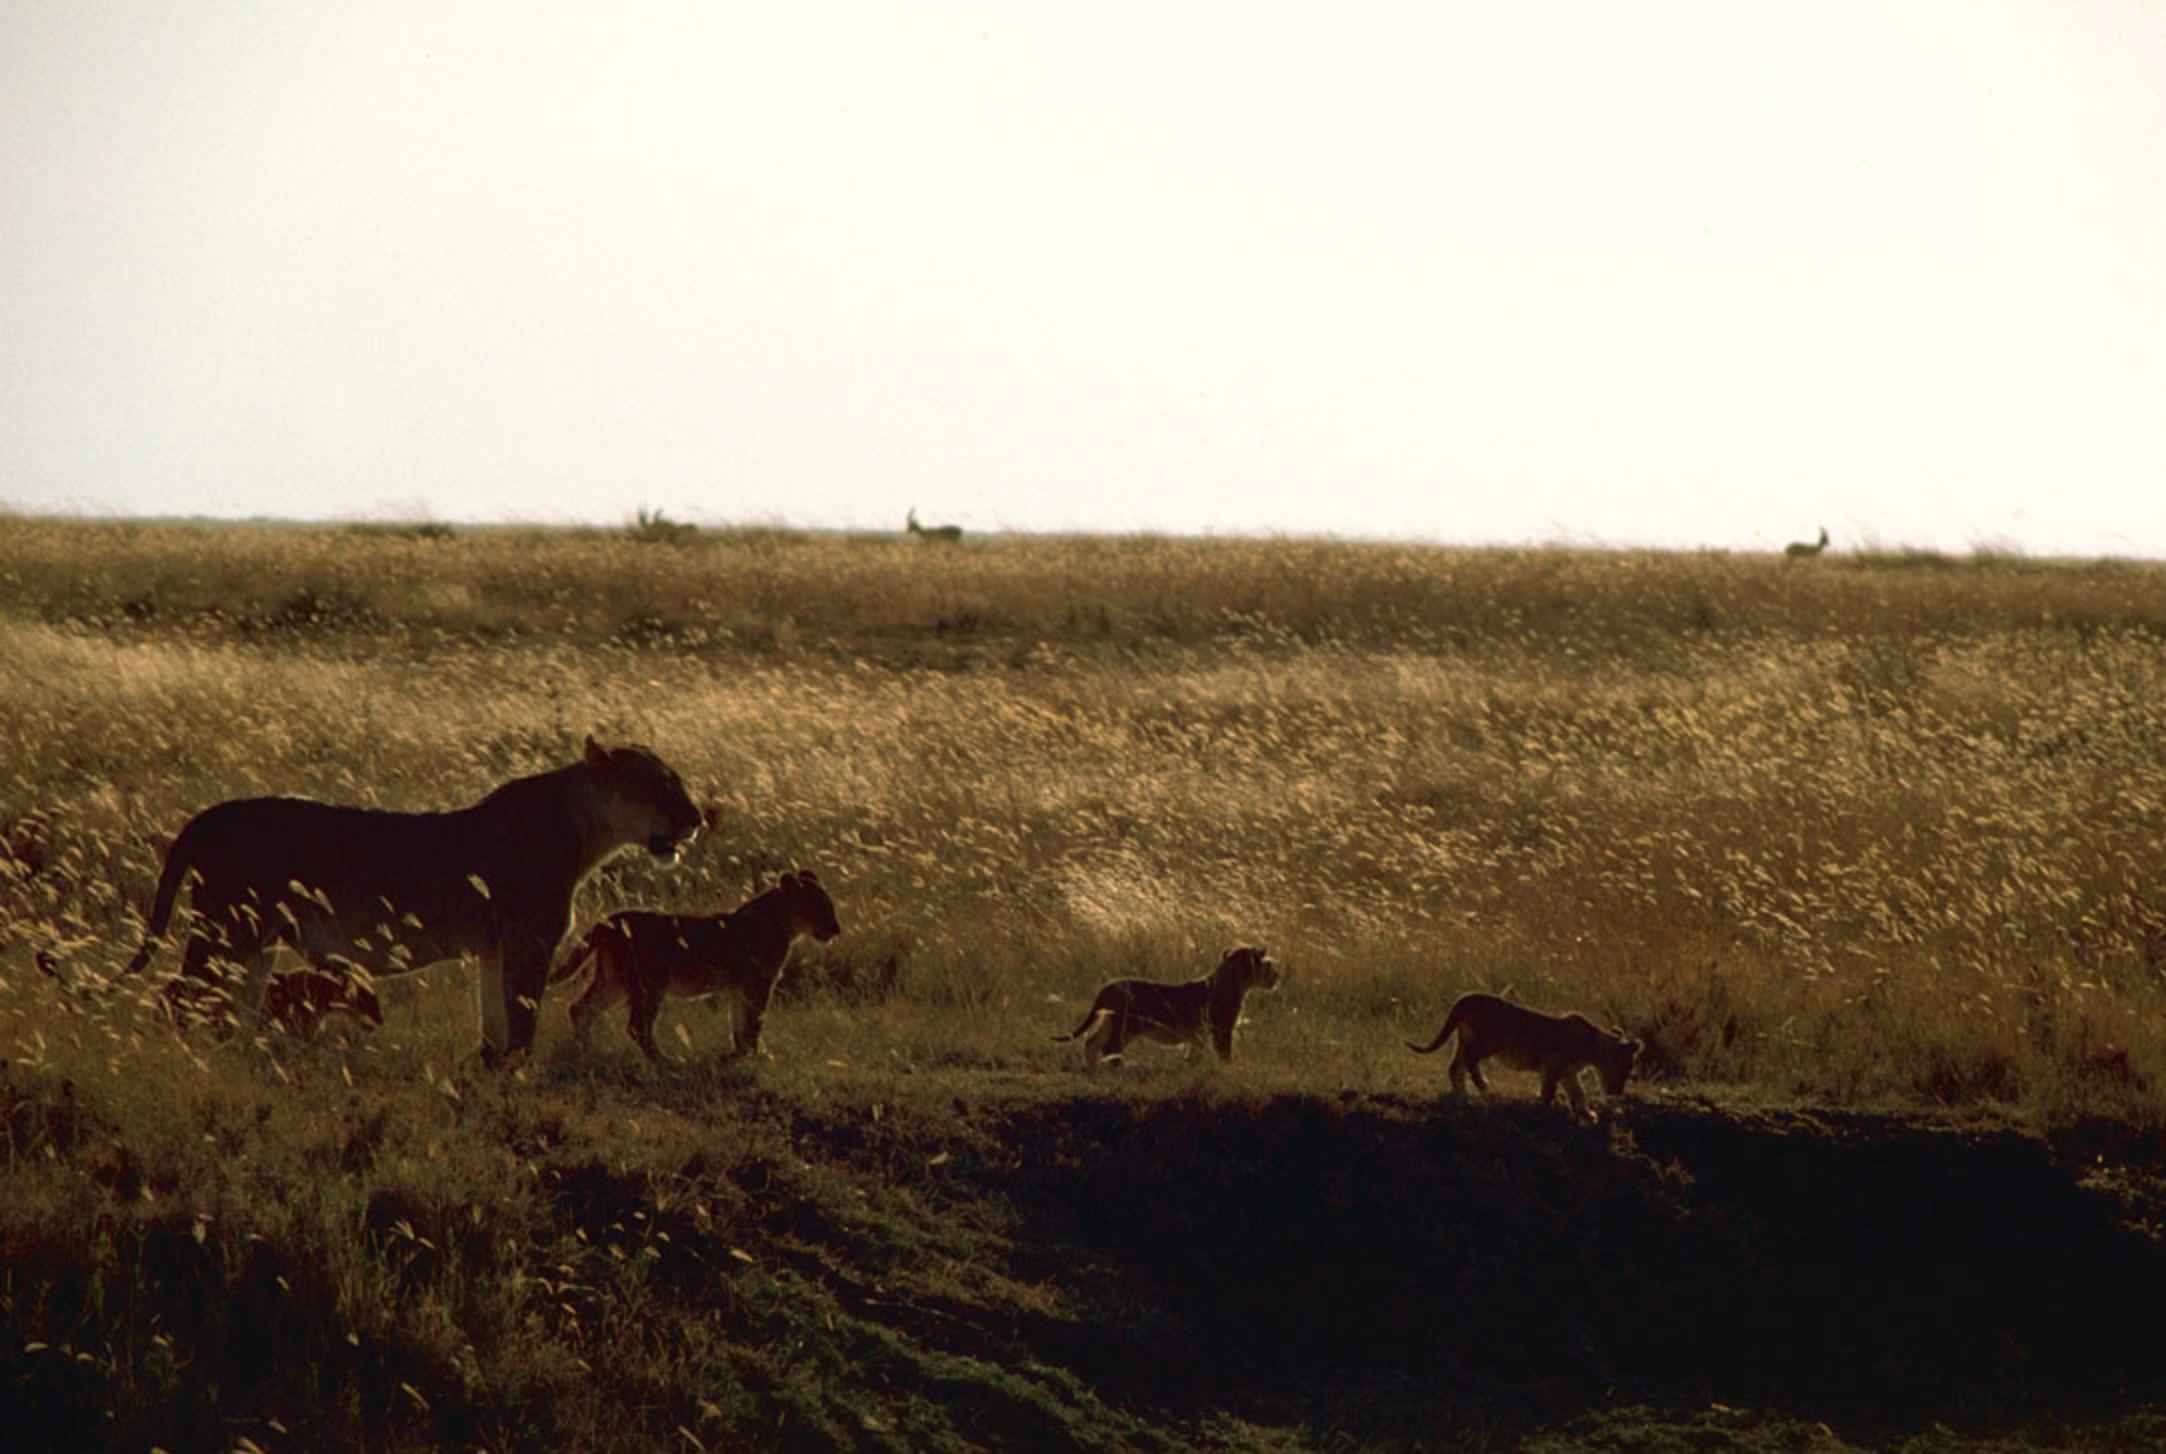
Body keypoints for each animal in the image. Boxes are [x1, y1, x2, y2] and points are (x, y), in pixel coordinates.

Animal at [121, 736, 703, 1064]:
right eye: (659, 784)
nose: (697, 819)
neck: (588, 831)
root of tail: (207, 815)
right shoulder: (530, 941)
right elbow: (523, 1020)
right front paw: (522, 1078)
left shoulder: (496, 947)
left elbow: (495, 1021)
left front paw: (488, 1070)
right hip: (228, 931)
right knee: (176, 998)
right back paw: (181, 1059)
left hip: (255, 941)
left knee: (231, 1003)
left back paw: (240, 1054)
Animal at [551, 869, 840, 1061]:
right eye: (820, 905)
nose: (836, 929)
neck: (784, 922)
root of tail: (607, 920)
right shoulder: (760, 982)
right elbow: (754, 1021)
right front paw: (757, 1055)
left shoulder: (739, 985)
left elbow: (737, 1021)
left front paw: (738, 1054)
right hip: (649, 983)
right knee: (636, 1026)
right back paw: (665, 1061)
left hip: (615, 981)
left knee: (580, 1008)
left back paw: (584, 1052)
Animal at [1052, 946, 1282, 1067]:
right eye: (1267, 965)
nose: (1277, 976)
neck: (1235, 982)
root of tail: (1109, 985)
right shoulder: (1222, 1029)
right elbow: (1224, 1051)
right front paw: (1228, 1068)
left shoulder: (1199, 1033)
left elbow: (1195, 1051)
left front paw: (1191, 1066)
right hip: (1127, 1025)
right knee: (1109, 1047)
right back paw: (1120, 1067)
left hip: (1111, 1020)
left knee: (1091, 1041)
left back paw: (1092, 1066)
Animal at [1407, 991, 1641, 1119]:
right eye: (1625, 1069)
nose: (1617, 1092)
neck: (1593, 1047)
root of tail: (1467, 997)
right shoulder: (1553, 1064)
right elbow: (1549, 1088)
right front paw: (1544, 1104)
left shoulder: (1568, 1073)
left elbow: (1578, 1092)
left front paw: (1587, 1114)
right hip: (1488, 1041)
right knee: (1471, 1061)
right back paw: (1483, 1085)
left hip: (1464, 1039)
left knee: (1456, 1066)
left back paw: (1463, 1094)